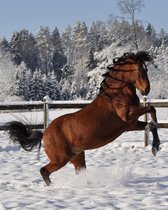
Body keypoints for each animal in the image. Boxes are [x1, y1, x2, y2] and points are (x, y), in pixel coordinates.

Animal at [5, 50, 160, 185]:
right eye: (140, 69)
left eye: (146, 69)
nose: (146, 90)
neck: (116, 94)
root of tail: (45, 133)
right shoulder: (127, 117)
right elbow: (151, 108)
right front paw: (155, 145)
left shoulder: (130, 124)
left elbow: (151, 123)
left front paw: (155, 146)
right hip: (61, 159)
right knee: (44, 171)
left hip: (77, 157)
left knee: (76, 171)